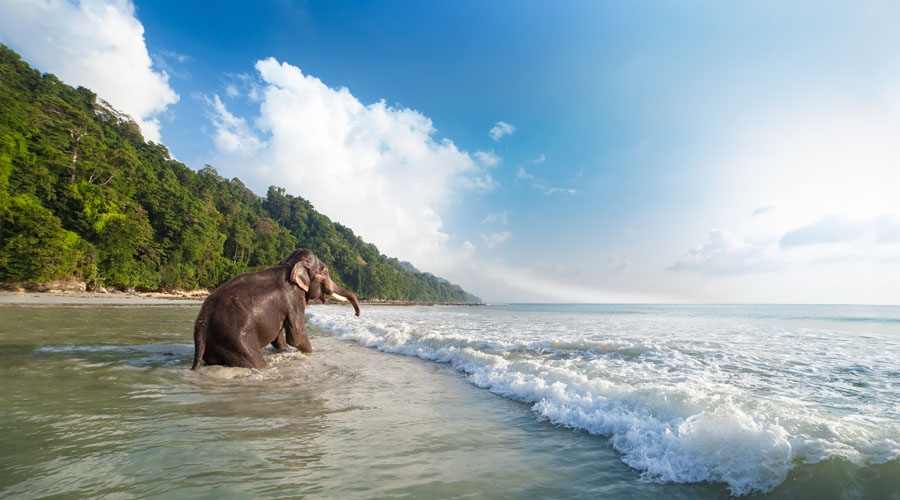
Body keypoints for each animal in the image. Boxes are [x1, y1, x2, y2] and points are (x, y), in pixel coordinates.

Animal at [191, 248, 360, 370]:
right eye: (325, 273)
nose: (357, 315)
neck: (290, 264)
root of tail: (202, 323)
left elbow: (279, 335)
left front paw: (285, 350)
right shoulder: (293, 298)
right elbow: (296, 336)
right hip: (235, 339)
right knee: (255, 362)